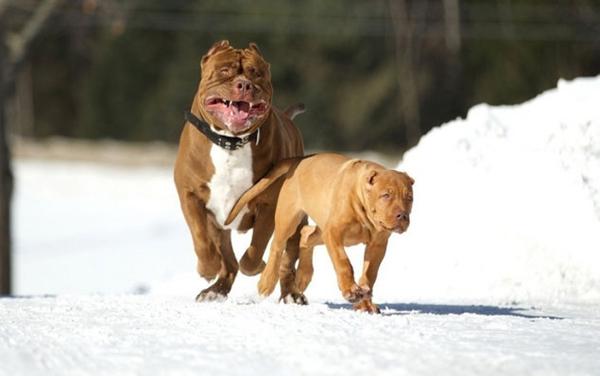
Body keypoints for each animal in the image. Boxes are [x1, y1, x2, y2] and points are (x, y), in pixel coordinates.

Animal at [173, 39, 304, 302]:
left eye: (256, 73)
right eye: (224, 71)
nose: (244, 84)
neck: (230, 142)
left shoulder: (269, 203)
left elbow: (256, 249)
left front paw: (257, 265)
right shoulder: (190, 195)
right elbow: (200, 238)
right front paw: (208, 268)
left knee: (286, 257)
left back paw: (291, 294)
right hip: (218, 224)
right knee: (228, 260)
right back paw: (214, 290)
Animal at [225, 151, 412, 312]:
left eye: (409, 198)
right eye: (386, 195)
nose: (402, 215)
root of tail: (300, 159)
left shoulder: (378, 244)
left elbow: (369, 274)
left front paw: (365, 303)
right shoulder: (334, 232)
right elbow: (343, 262)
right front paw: (350, 291)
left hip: (323, 230)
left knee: (305, 235)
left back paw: (303, 275)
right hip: (289, 218)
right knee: (277, 246)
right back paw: (266, 282)